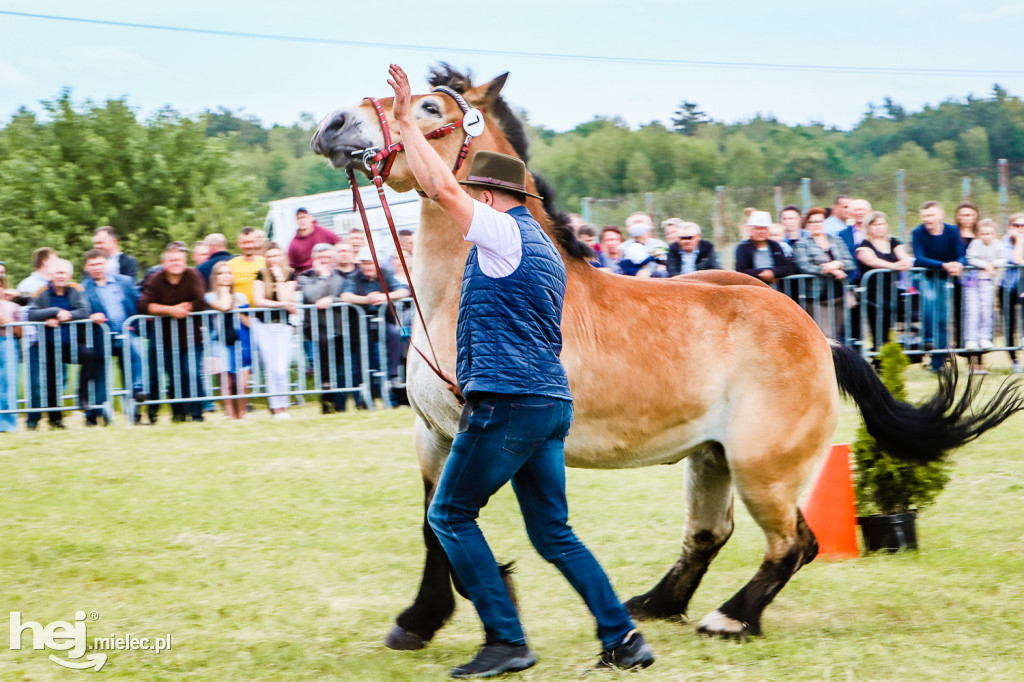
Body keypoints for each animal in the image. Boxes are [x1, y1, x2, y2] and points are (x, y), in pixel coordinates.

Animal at [311, 66, 1024, 647]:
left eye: (429, 107)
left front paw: (485, 600)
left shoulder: (477, 436)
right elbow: (435, 529)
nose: (332, 123)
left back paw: (729, 619)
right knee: (709, 535)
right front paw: (419, 621)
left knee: (794, 542)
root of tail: (818, 338)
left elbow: (455, 534)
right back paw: (654, 604)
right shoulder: (433, 437)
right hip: (710, 460)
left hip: (762, 467)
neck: (456, 292)